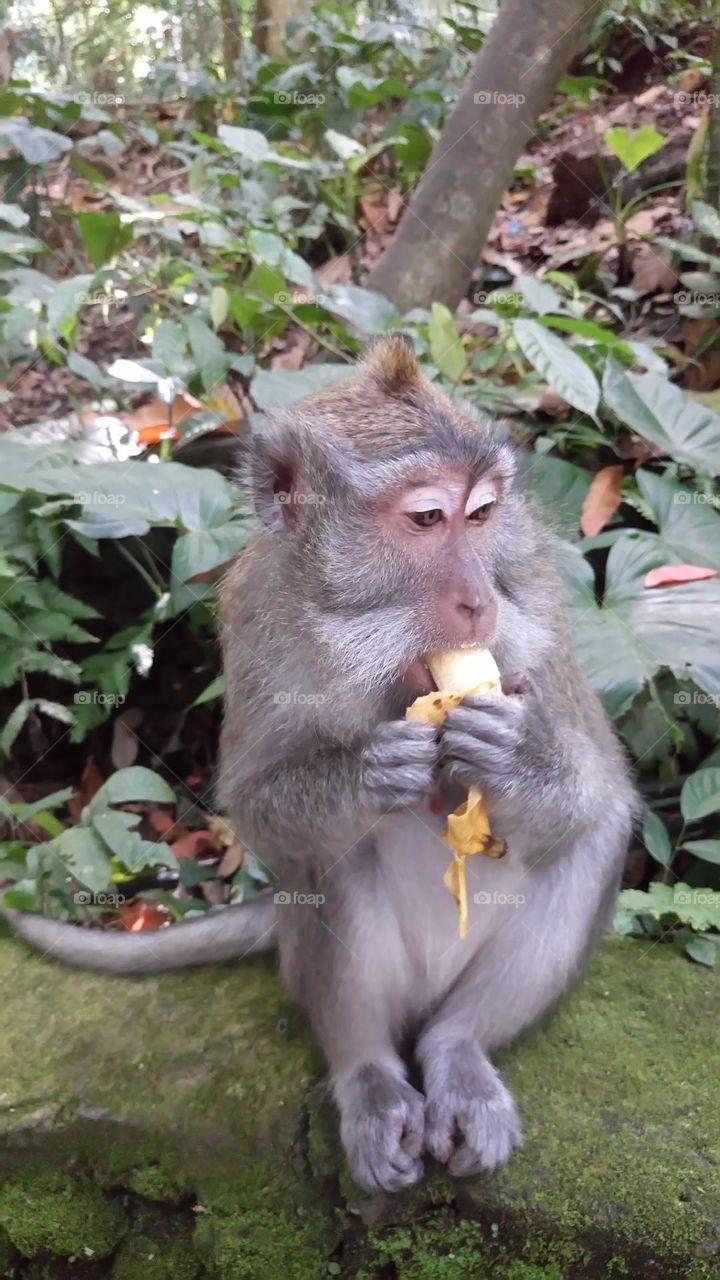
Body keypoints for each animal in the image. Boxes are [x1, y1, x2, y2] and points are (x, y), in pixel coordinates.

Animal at [2, 336, 636, 1191]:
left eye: (481, 516)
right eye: (428, 518)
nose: (477, 602)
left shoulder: (534, 593)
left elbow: (595, 787)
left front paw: (517, 756)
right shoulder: (256, 610)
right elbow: (258, 802)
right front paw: (367, 771)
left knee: (594, 838)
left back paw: (460, 1049)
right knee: (327, 860)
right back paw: (366, 1073)